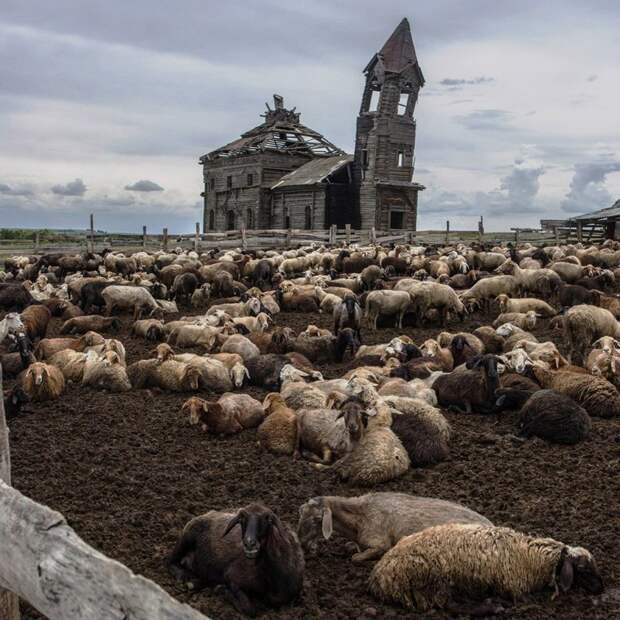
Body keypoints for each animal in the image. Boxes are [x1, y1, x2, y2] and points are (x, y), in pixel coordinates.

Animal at [166, 504, 304, 616]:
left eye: (268, 520)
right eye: (242, 520)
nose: (249, 543)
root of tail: (210, 512)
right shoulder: (232, 576)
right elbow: (250, 609)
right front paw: (222, 590)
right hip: (187, 536)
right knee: (169, 561)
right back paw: (184, 576)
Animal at [366, 524, 604, 612]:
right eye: (583, 569)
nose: (601, 588)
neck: (529, 556)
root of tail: (378, 576)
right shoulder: (513, 587)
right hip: (432, 580)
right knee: (448, 605)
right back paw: (488, 605)